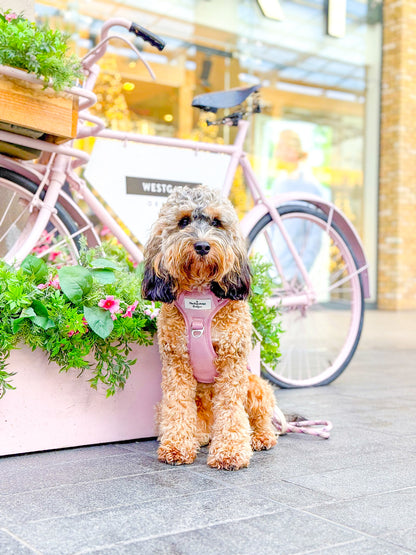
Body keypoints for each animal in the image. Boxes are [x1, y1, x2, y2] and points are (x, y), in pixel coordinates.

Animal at [141, 186, 278, 470]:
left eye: (216, 222)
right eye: (183, 221)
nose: (203, 245)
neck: (200, 294)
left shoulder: (232, 363)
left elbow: (231, 410)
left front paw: (230, 452)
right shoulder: (176, 363)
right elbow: (178, 406)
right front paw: (177, 447)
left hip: (255, 385)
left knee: (260, 418)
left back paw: (260, 437)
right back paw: (199, 437)